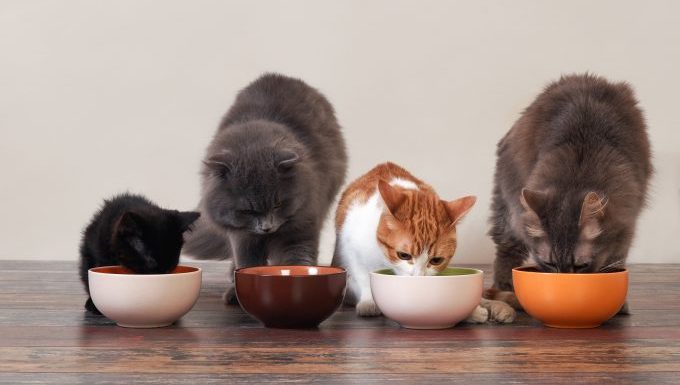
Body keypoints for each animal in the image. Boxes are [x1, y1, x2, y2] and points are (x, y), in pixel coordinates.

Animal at [183, 72, 348, 300]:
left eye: (278, 204)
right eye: (247, 211)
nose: (266, 227)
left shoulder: (301, 225)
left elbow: (298, 258)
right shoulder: (242, 236)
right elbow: (247, 262)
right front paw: (237, 290)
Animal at [330, 161, 516, 320]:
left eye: (436, 260)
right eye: (403, 255)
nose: (419, 277)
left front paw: (473, 311)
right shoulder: (351, 252)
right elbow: (363, 277)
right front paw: (369, 302)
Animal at [486, 73, 652, 310]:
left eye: (581, 266)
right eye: (550, 263)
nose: (564, 284)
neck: (578, 170)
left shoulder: (627, 221)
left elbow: (617, 258)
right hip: (508, 210)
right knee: (506, 250)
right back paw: (505, 288)